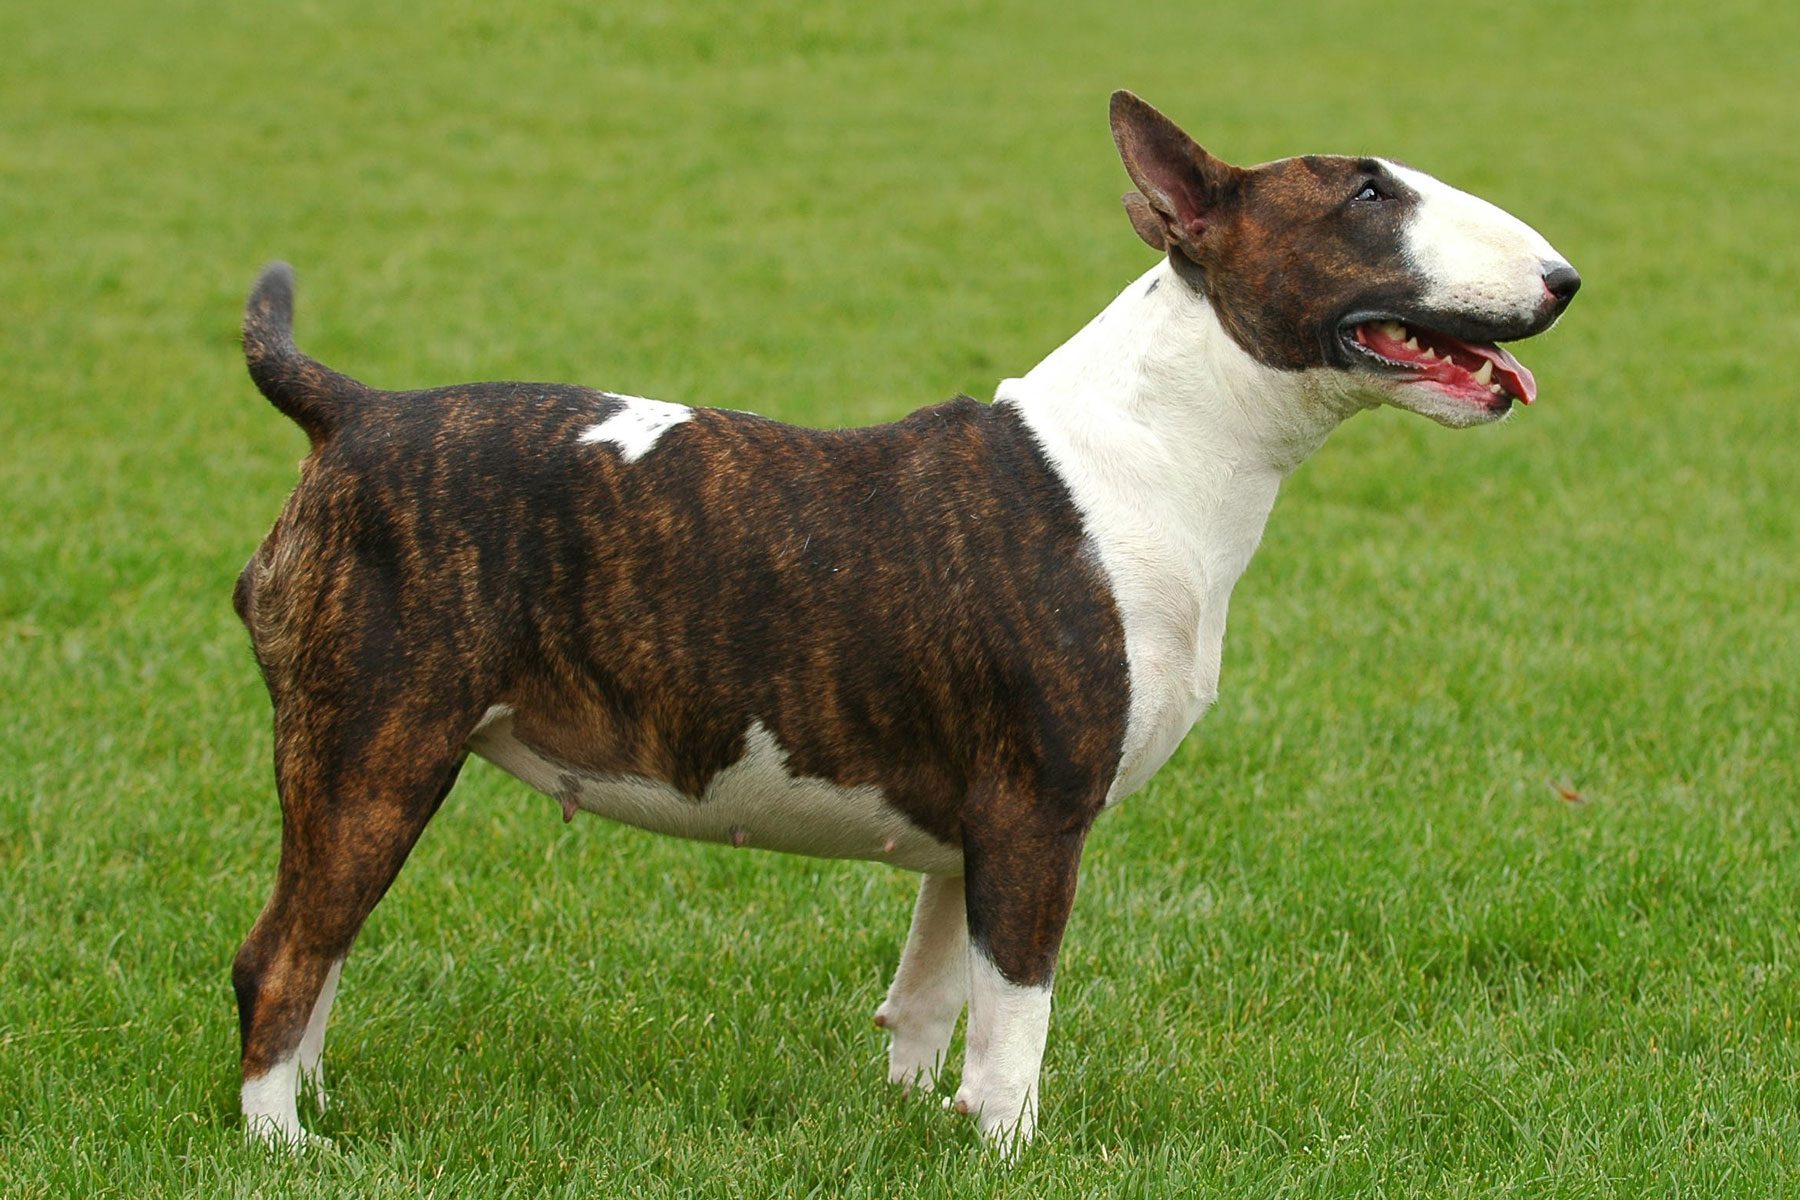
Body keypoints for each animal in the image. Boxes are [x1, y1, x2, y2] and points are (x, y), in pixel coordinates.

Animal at [228, 91, 1576, 1151]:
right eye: (1365, 193)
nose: (1565, 280)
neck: (1164, 444)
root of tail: (356, 412)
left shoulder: (967, 822)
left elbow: (934, 1001)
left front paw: (921, 1126)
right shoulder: (1037, 815)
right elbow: (1018, 1017)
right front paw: (1011, 1154)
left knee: (323, 949)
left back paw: (315, 1106)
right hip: (376, 744)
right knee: (281, 955)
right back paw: (286, 1146)